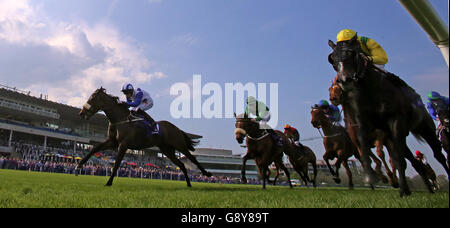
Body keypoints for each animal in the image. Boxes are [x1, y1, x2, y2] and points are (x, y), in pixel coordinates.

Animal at [76, 87, 212, 187]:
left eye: (92, 98)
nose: (81, 113)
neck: (120, 119)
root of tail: (176, 128)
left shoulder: (123, 144)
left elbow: (117, 163)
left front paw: (109, 182)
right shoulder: (112, 142)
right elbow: (94, 149)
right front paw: (79, 166)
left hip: (179, 145)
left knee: (192, 159)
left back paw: (207, 173)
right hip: (167, 150)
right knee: (182, 165)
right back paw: (189, 184)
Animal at [326, 36, 450, 196]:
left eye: (352, 53)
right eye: (332, 59)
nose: (345, 81)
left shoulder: (395, 122)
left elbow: (389, 157)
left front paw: (396, 185)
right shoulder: (362, 125)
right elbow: (365, 150)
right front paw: (371, 176)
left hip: (425, 129)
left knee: (438, 156)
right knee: (413, 161)